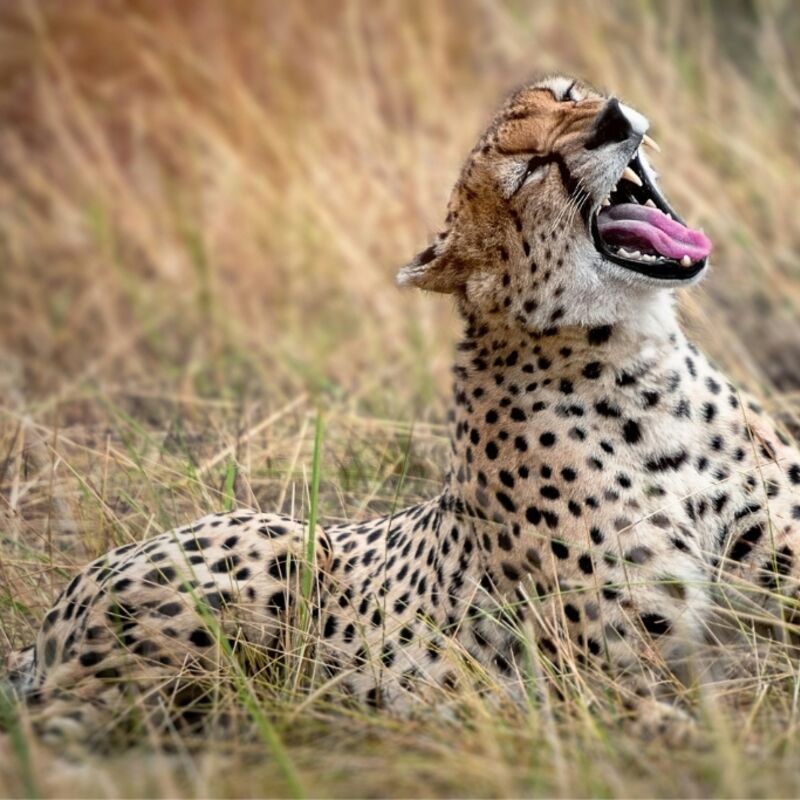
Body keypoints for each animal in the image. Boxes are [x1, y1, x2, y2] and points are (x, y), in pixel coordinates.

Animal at [4, 75, 800, 744]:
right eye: (531, 169)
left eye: (569, 94)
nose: (611, 117)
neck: (637, 362)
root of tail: (46, 628)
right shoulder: (609, 677)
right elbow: (680, 714)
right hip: (279, 546)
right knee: (80, 716)